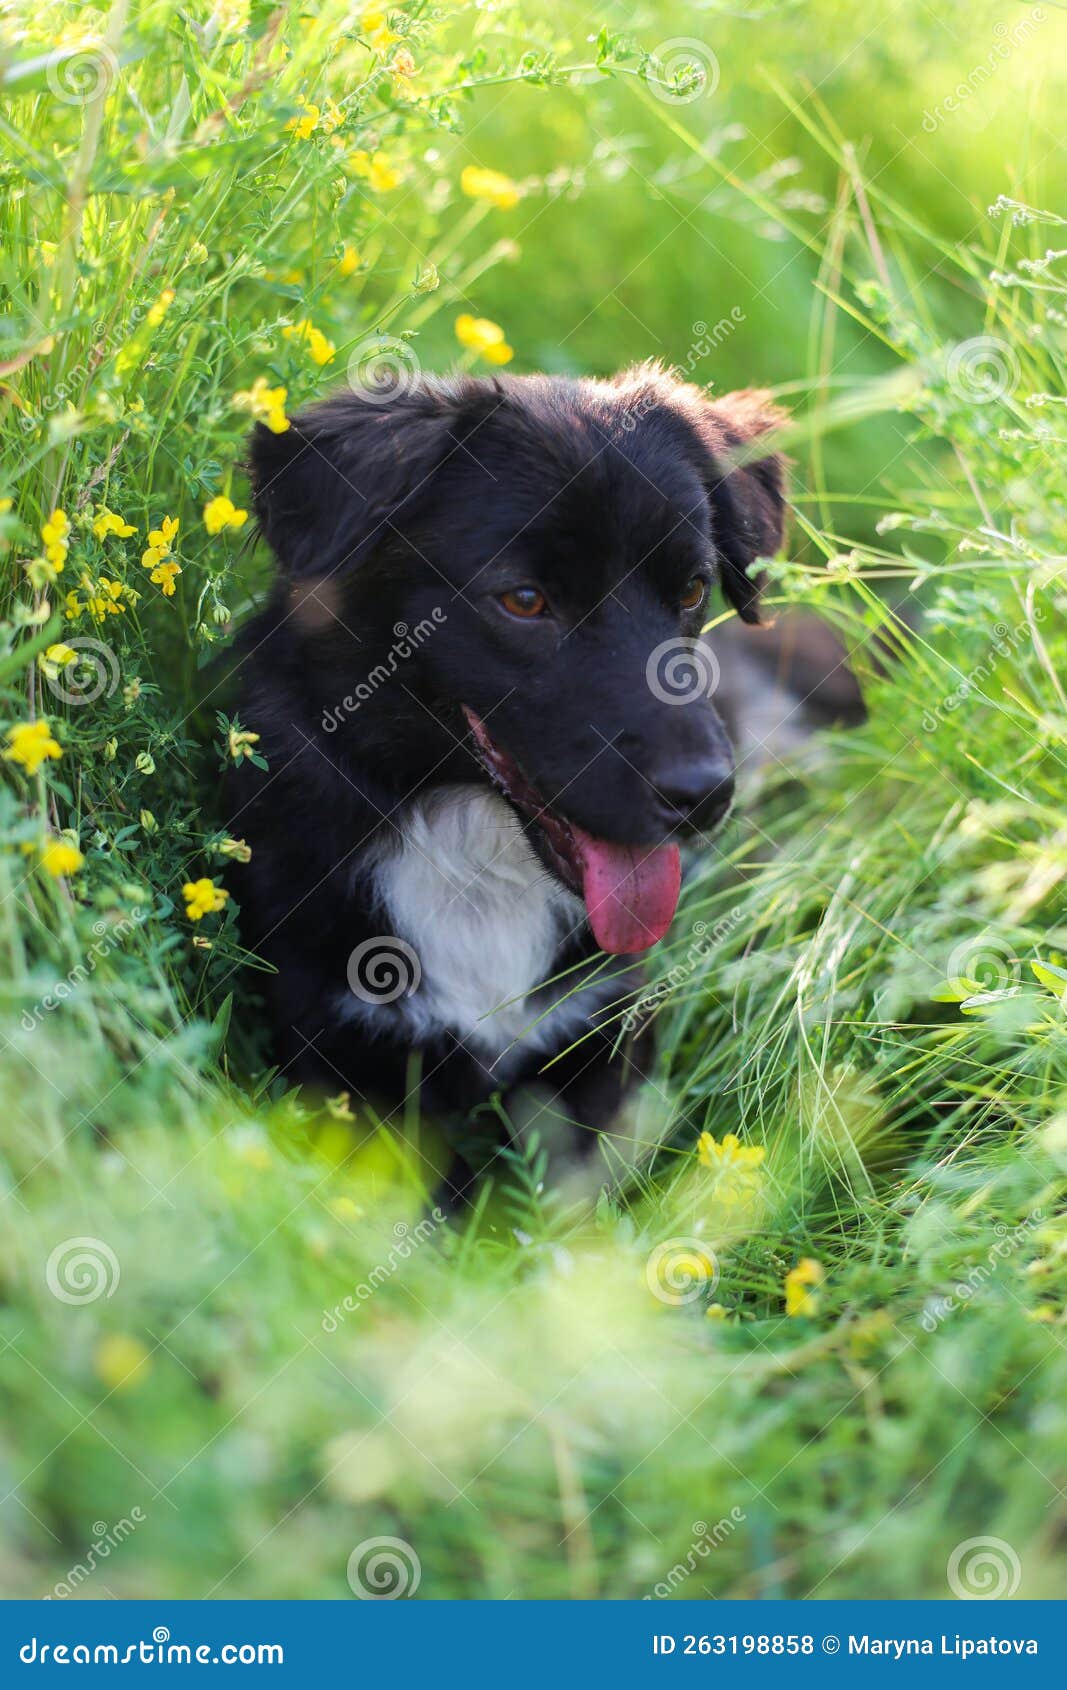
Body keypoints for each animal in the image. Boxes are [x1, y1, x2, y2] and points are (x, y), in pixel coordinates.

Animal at [229, 363, 787, 1142]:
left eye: (691, 590)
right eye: (524, 601)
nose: (705, 795)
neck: (472, 846)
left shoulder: (603, 1028)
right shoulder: (338, 1047)